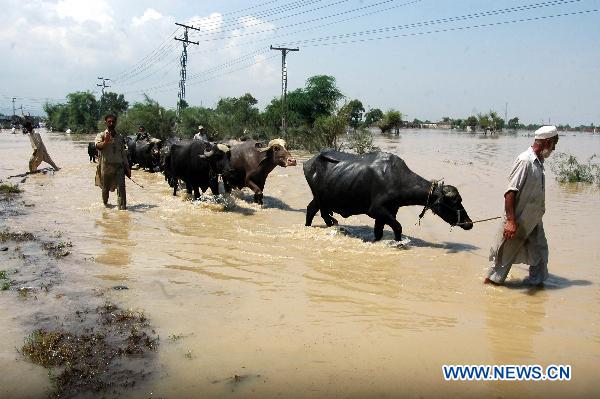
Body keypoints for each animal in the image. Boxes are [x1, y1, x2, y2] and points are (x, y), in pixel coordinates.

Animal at [304, 151, 474, 241]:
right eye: (454, 202)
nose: (469, 223)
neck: (398, 179)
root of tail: (309, 162)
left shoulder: (390, 210)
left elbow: (379, 231)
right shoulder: (375, 210)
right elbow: (398, 227)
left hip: (319, 199)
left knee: (311, 209)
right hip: (320, 199)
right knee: (323, 214)